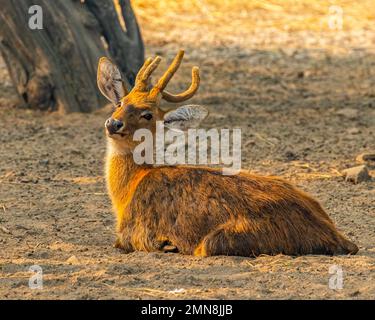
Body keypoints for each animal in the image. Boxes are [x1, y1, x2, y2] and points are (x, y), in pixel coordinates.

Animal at [97, 48, 358, 256]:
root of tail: (337, 237)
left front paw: (168, 244)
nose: (114, 123)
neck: (128, 191)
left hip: (219, 239)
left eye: (148, 114)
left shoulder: (135, 234)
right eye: (121, 103)